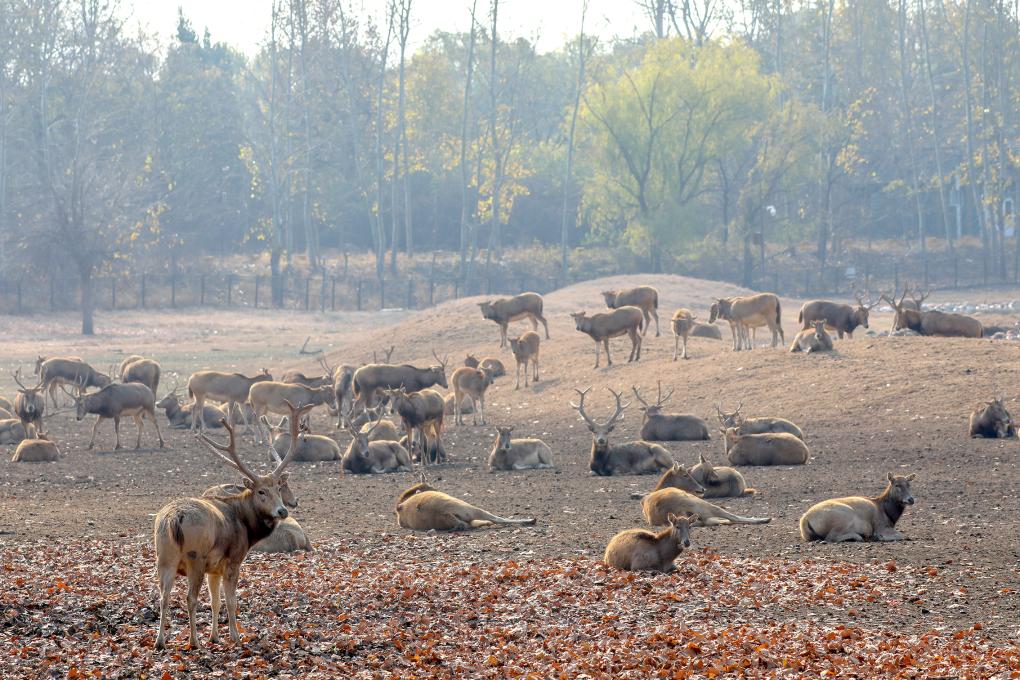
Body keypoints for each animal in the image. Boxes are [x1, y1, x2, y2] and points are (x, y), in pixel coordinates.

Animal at [153, 401, 314, 652]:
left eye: (279, 487)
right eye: (261, 491)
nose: (283, 511)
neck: (246, 527)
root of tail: (173, 518)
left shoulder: (214, 568)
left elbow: (215, 601)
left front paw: (215, 637)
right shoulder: (233, 559)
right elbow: (231, 600)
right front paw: (235, 637)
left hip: (164, 557)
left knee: (163, 597)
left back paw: (160, 641)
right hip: (194, 557)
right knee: (190, 598)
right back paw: (193, 641)